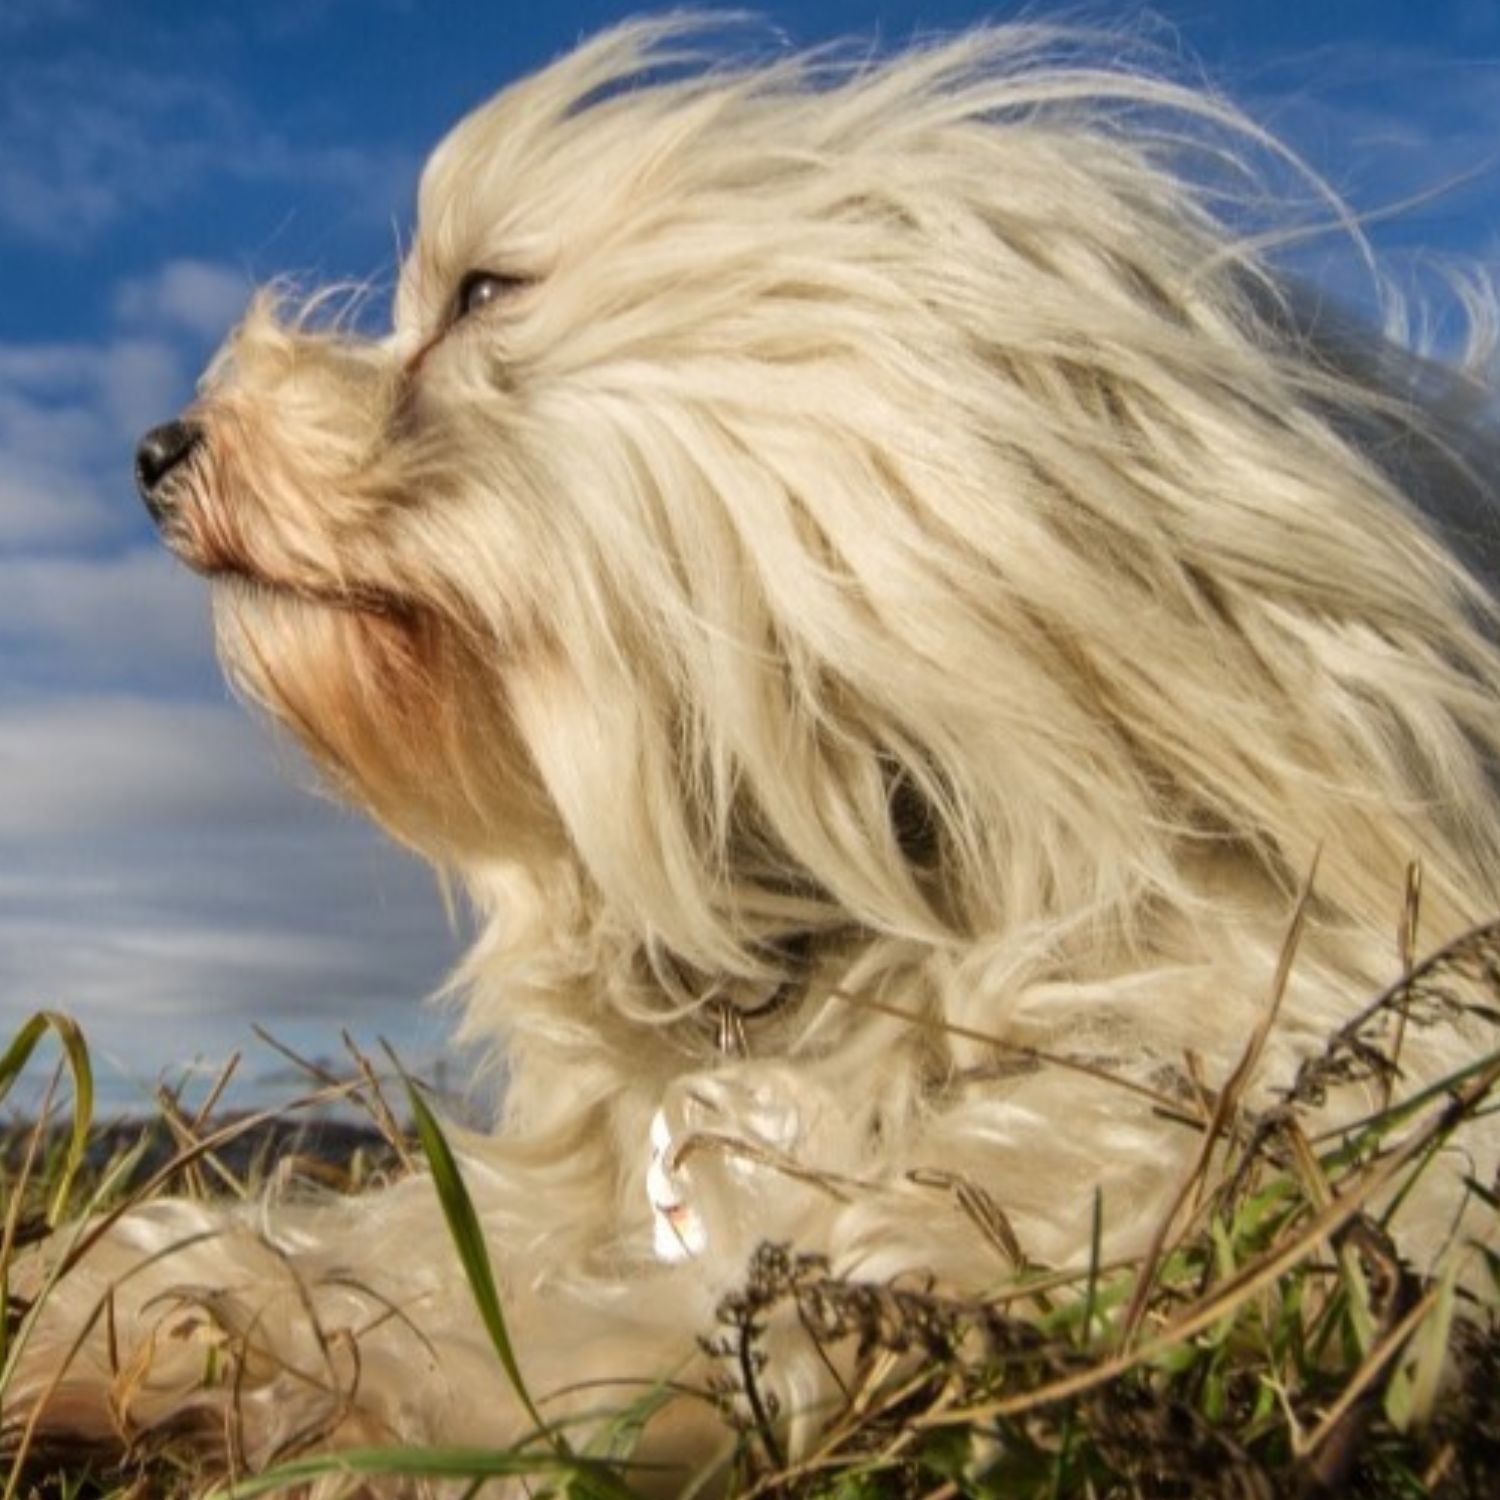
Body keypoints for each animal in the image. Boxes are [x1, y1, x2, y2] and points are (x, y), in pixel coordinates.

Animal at [8, 17, 1500, 1494]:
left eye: (485, 290)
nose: (156, 449)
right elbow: (409, 1237)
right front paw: (125, 1303)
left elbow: (709, 1301)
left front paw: (380, 1387)